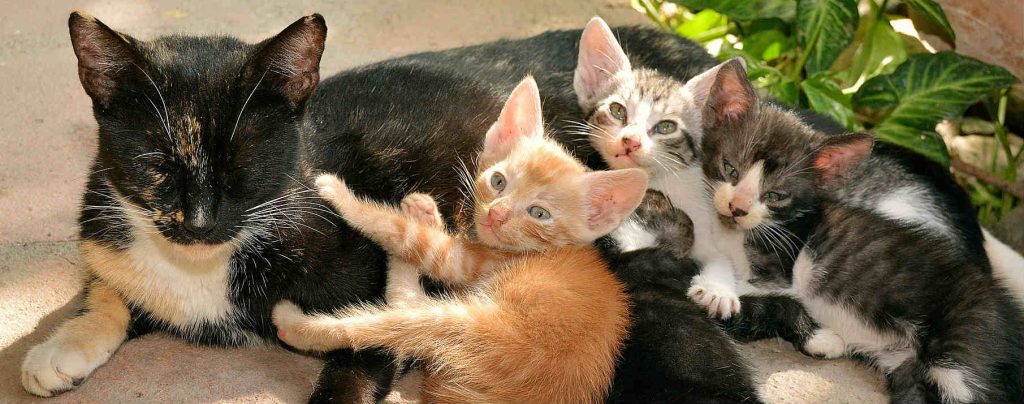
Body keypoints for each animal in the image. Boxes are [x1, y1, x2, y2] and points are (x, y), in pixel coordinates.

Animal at [268, 77, 643, 402]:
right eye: (498, 181)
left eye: (539, 213)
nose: (496, 215)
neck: (539, 250)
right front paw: (426, 215)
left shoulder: (473, 261)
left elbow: (402, 234)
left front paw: (339, 194)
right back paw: (422, 211)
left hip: (478, 330)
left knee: (390, 320)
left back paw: (292, 323)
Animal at [700, 68, 1019, 402]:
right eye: (730, 169)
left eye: (775, 195)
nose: (737, 208)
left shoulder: (776, 269)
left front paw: (715, 289)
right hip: (908, 372)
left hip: (961, 351)